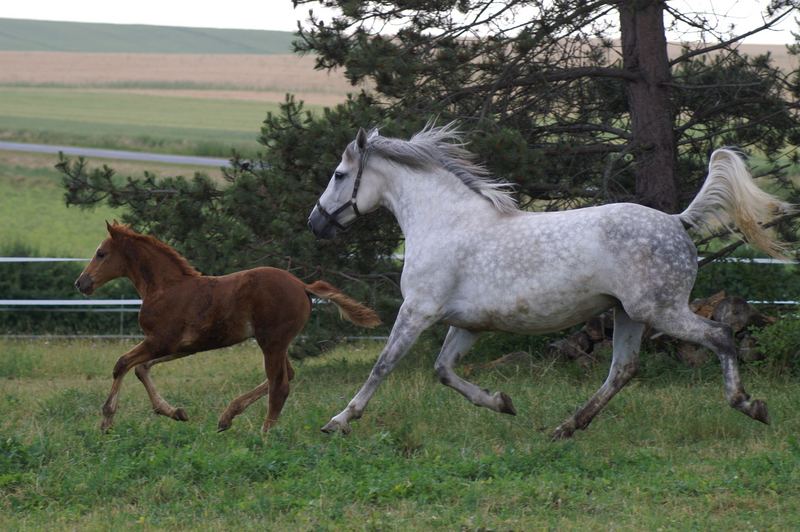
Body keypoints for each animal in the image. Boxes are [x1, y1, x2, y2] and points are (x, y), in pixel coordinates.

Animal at [73, 221, 380, 432]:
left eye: (101, 253)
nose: (81, 283)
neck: (165, 288)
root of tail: (302, 285)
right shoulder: (180, 346)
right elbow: (141, 368)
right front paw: (175, 412)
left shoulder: (160, 340)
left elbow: (122, 363)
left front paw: (107, 419)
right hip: (277, 343)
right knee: (286, 376)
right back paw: (227, 417)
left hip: (271, 341)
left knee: (280, 384)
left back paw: (264, 434)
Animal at [310, 122, 792, 438]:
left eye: (338, 175)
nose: (316, 224)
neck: (444, 223)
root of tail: (677, 221)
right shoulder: (467, 324)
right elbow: (443, 371)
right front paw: (502, 403)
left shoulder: (418, 310)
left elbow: (382, 366)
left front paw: (338, 421)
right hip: (629, 314)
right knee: (623, 370)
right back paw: (566, 427)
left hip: (662, 310)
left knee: (720, 336)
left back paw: (750, 405)